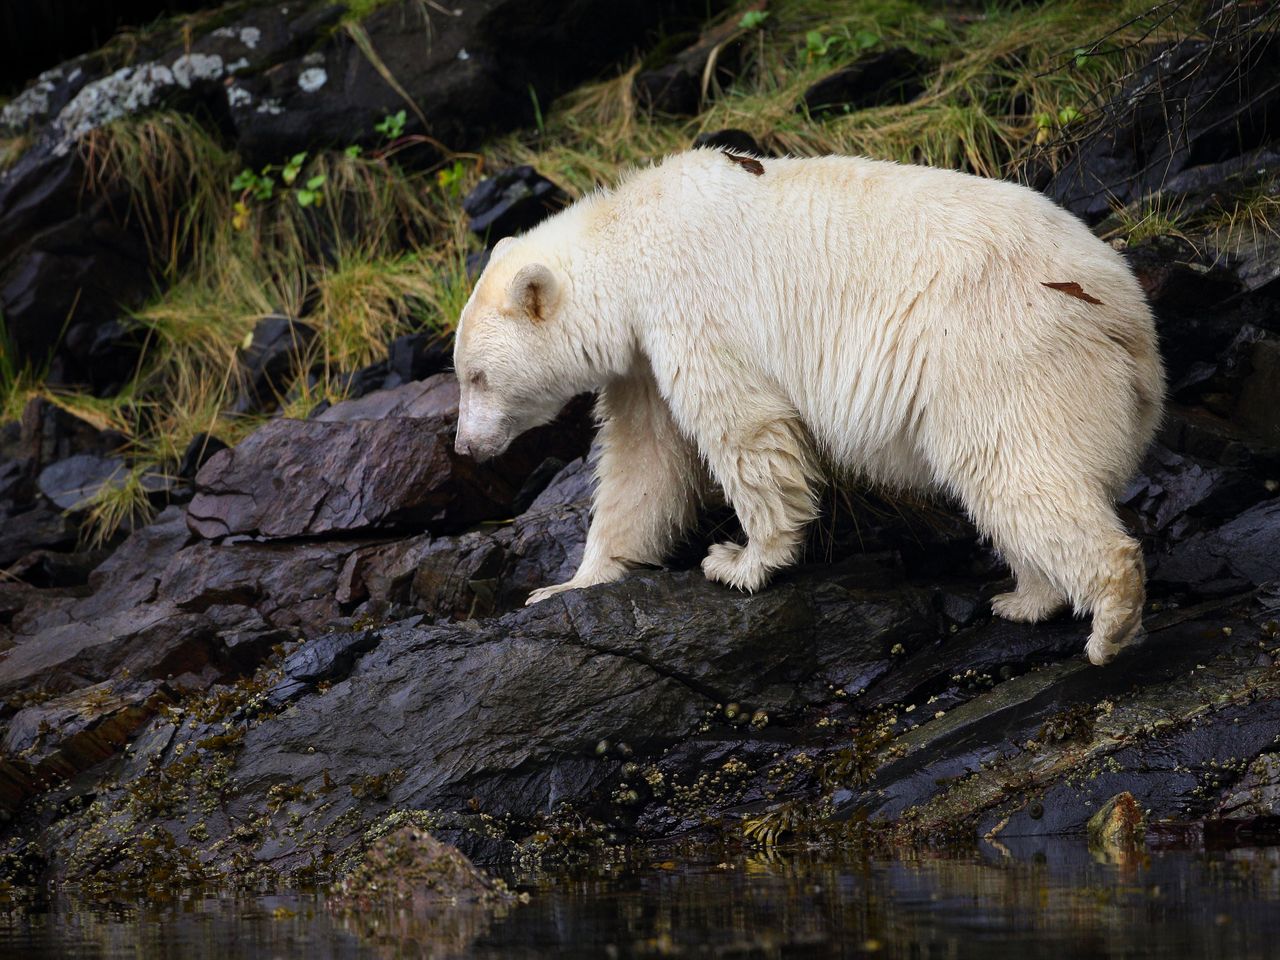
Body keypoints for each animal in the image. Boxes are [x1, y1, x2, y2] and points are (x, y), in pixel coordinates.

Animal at [452, 149, 1166, 666]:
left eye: (477, 376)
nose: (464, 446)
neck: (629, 238)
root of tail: (1130, 323)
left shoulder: (692, 307)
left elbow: (743, 427)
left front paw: (739, 561)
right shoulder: (641, 365)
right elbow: (641, 464)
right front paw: (564, 586)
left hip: (1003, 352)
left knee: (1014, 468)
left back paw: (1108, 622)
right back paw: (1024, 597)